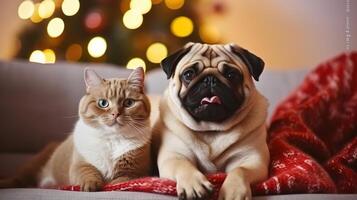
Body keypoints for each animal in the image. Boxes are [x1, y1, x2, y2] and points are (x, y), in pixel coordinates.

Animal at [0, 67, 151, 191]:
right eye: (103, 103)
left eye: (129, 103)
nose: (116, 114)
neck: (111, 139)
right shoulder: (80, 165)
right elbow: (88, 173)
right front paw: (91, 185)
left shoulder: (134, 172)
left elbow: (119, 181)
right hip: (33, 165)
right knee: (17, 179)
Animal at [152, 43, 268, 199]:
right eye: (188, 74)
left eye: (231, 75)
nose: (210, 79)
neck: (210, 128)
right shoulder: (173, 156)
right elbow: (183, 166)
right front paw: (194, 184)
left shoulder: (252, 159)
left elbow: (240, 171)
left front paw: (234, 191)